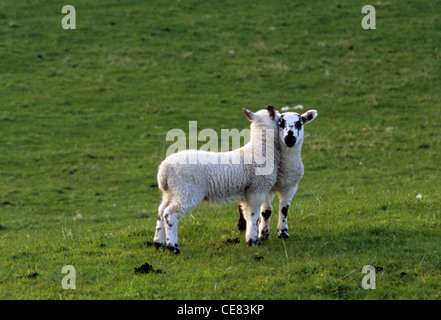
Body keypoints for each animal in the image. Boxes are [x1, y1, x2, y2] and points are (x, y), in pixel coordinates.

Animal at [153, 106, 280, 254]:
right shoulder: (257, 190)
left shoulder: (246, 193)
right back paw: (173, 247)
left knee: (161, 211)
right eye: (278, 117)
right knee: (170, 214)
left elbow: (247, 215)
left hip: (171, 192)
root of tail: (164, 170)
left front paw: (250, 237)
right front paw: (253, 241)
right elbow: (253, 215)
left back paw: (159, 243)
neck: (259, 151)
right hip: (187, 191)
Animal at [237, 109, 316, 239]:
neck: (284, 169)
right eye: (281, 123)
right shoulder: (264, 187)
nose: (290, 139)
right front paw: (263, 233)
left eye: (300, 123)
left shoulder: (291, 186)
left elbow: (284, 209)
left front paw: (283, 232)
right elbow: (266, 211)